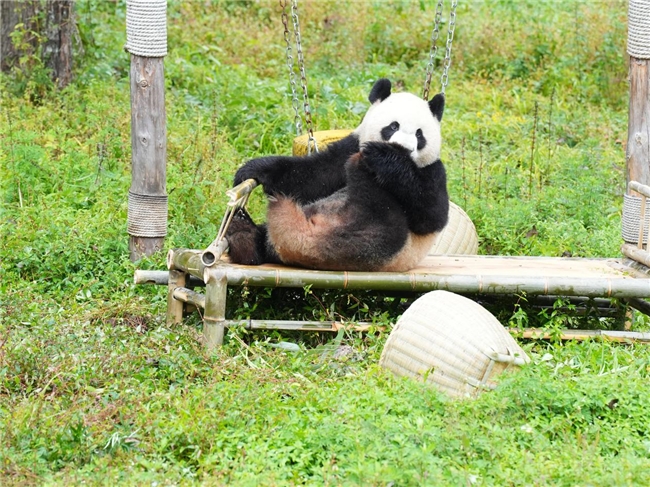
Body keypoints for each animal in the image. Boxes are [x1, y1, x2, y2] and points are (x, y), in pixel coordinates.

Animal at [225, 78, 448, 272]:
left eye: (419, 134)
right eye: (393, 126)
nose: (405, 148)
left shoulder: (433, 170)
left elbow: (431, 214)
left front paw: (385, 157)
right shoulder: (349, 147)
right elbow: (313, 176)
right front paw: (252, 170)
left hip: (384, 246)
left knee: (379, 218)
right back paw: (243, 237)